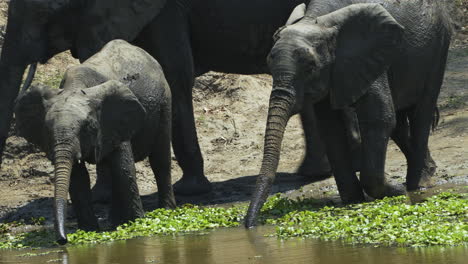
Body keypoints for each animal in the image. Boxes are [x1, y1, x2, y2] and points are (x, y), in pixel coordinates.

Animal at [15, 39, 176, 245]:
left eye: (87, 128)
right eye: (47, 130)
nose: (62, 240)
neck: (75, 87)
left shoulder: (114, 120)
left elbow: (124, 168)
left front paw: (138, 225)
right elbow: (77, 177)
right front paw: (89, 230)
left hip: (165, 100)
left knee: (159, 159)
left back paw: (165, 212)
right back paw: (116, 221)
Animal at [247, 0, 452, 227]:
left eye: (310, 67)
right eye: (268, 66)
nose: (249, 224)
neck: (317, 22)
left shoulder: (366, 54)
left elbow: (379, 118)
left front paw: (395, 190)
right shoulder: (333, 72)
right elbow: (330, 128)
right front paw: (353, 200)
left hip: (439, 46)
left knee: (421, 112)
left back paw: (418, 185)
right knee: (400, 122)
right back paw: (426, 173)